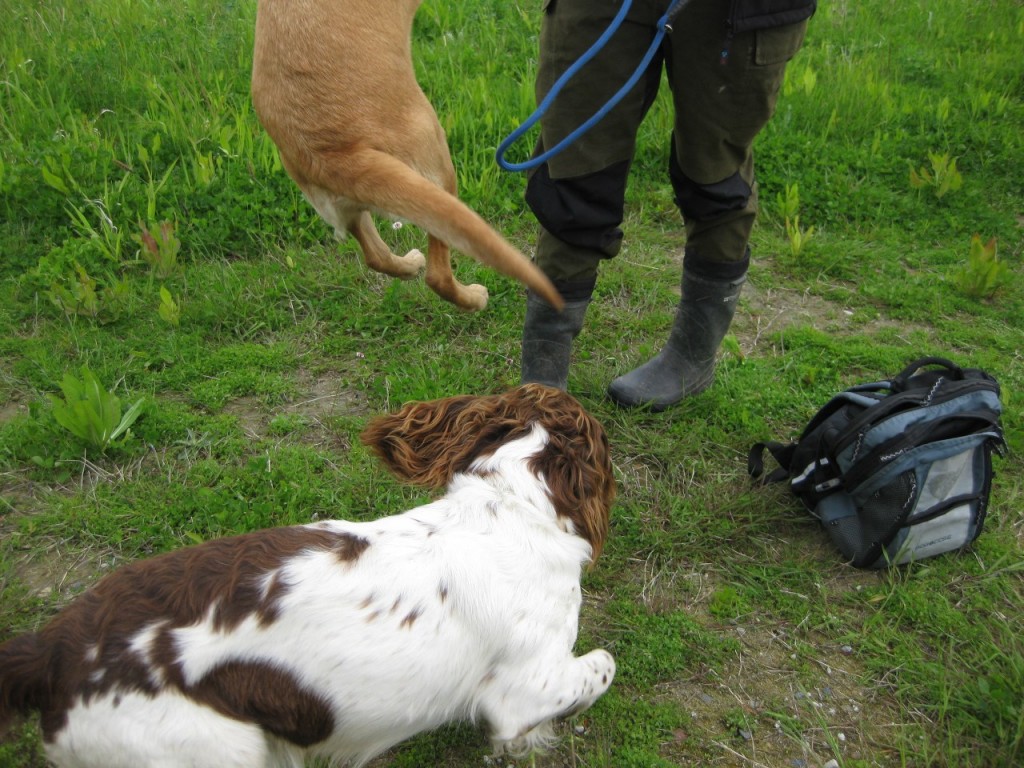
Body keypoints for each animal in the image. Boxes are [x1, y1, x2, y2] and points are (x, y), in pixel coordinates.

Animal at [252, 0, 565, 313]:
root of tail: (325, 151)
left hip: (361, 201)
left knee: (376, 256)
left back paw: (409, 265)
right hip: (437, 164)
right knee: (438, 275)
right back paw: (474, 298)